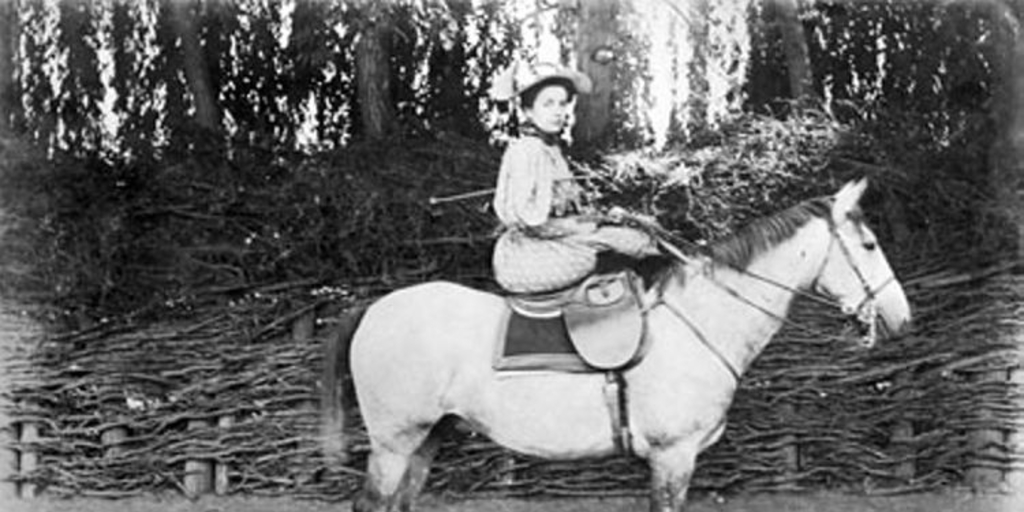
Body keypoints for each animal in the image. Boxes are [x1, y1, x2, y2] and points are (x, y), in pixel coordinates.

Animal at [319, 178, 913, 509]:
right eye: (869, 244)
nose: (900, 316)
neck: (700, 322)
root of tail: (373, 308)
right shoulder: (673, 458)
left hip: (426, 440)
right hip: (394, 443)